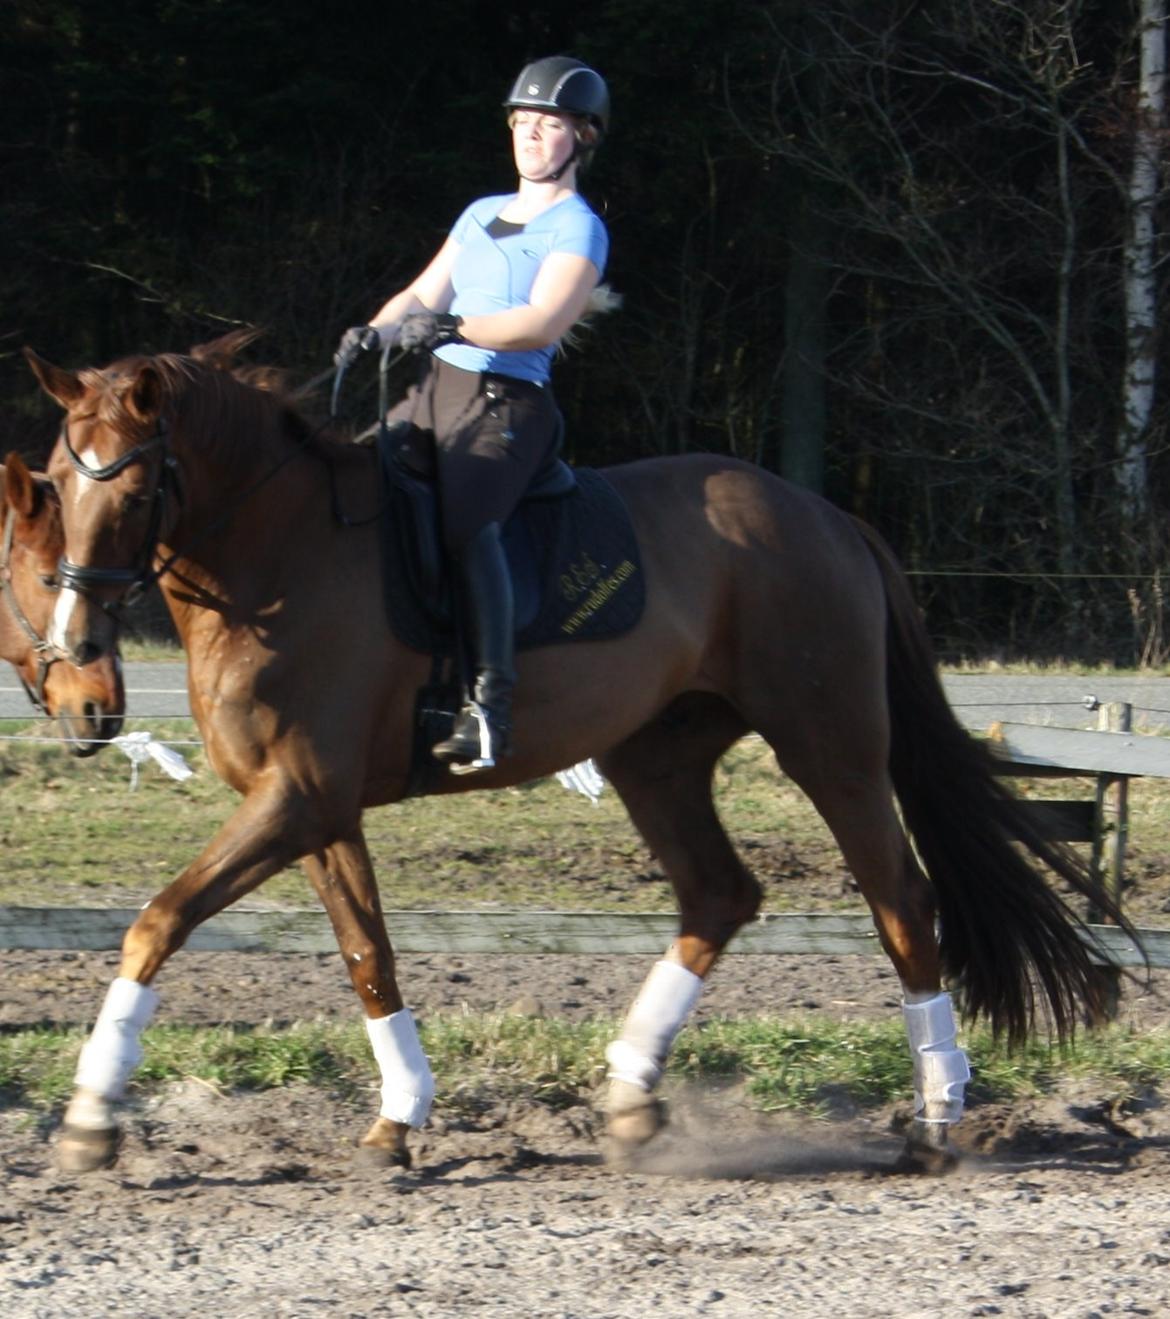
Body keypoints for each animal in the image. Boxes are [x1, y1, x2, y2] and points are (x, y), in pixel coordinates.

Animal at [25, 340, 1123, 1176]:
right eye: (55, 482)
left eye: (128, 486)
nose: (78, 659)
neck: (279, 553)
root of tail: (824, 514)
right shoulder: (314, 806)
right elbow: (367, 954)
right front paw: (398, 1117)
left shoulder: (297, 798)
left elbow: (158, 921)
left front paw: (89, 1117)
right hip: (656, 757)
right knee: (720, 892)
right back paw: (632, 1097)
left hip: (832, 746)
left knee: (902, 901)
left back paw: (934, 1121)